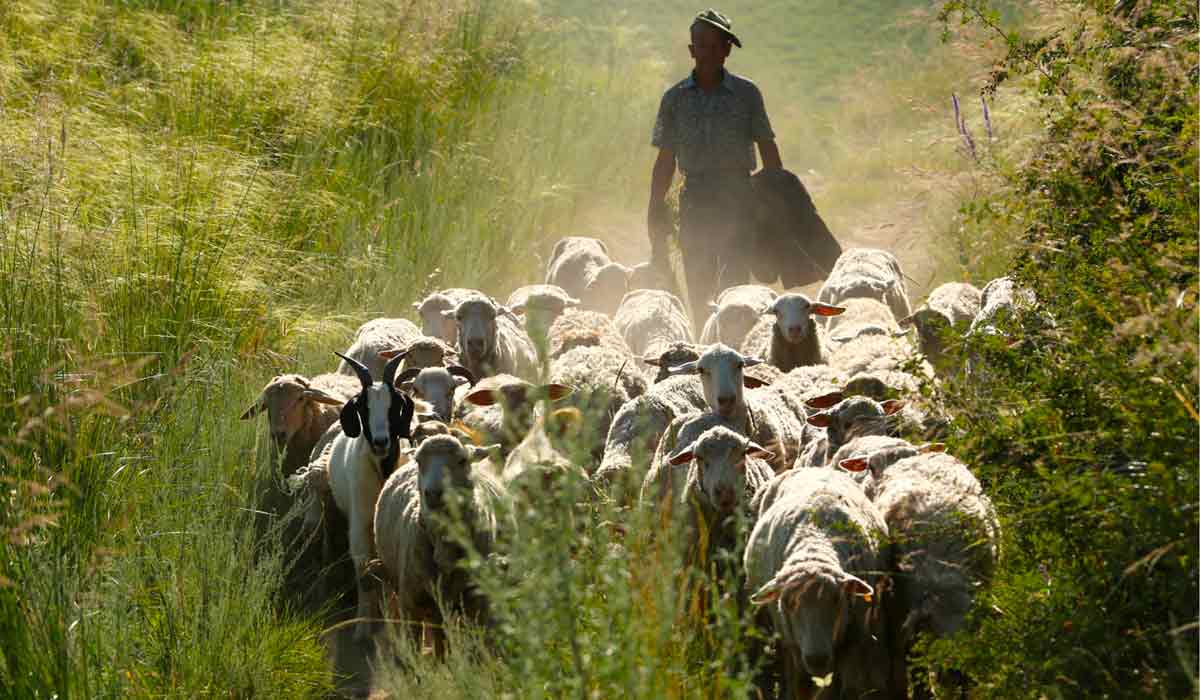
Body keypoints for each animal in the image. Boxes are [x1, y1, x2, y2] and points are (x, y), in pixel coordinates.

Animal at [744, 465, 897, 700]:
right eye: (788, 603)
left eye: (837, 600)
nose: (817, 658)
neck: (815, 541)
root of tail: (813, 467)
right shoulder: (793, 643)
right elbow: (800, 686)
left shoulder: (850, 638)